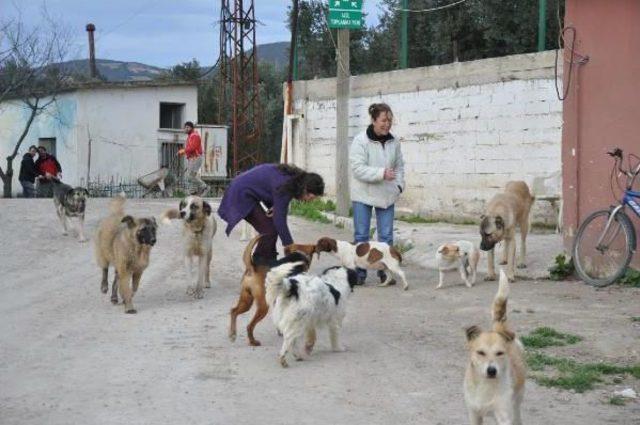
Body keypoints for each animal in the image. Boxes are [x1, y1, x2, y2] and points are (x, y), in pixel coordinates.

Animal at [464, 270, 524, 422]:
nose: (491, 371)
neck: (487, 385)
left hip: (516, 403)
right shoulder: (474, 413)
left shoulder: (504, 416)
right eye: (480, 352)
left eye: (500, 353)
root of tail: (498, 327)